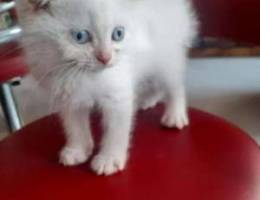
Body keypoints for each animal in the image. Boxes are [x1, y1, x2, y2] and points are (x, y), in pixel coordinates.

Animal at [16, 0, 197, 175]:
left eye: (118, 34)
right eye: (80, 36)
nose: (105, 57)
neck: (83, 75)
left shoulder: (117, 95)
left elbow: (115, 130)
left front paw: (109, 159)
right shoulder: (67, 95)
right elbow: (74, 125)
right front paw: (78, 150)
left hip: (167, 57)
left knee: (175, 84)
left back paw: (175, 115)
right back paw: (147, 100)